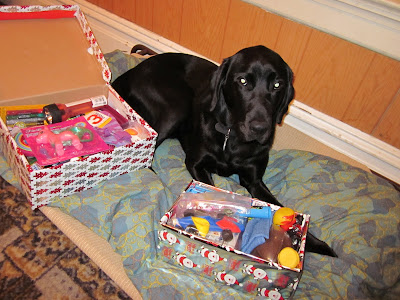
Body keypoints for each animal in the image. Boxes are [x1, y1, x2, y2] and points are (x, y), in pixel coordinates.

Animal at [112, 45, 338, 258]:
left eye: (277, 85)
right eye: (243, 81)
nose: (260, 128)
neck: (233, 138)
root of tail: (131, 72)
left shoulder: (253, 180)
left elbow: (277, 205)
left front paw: (315, 243)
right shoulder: (196, 163)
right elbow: (212, 190)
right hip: (175, 106)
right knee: (148, 153)